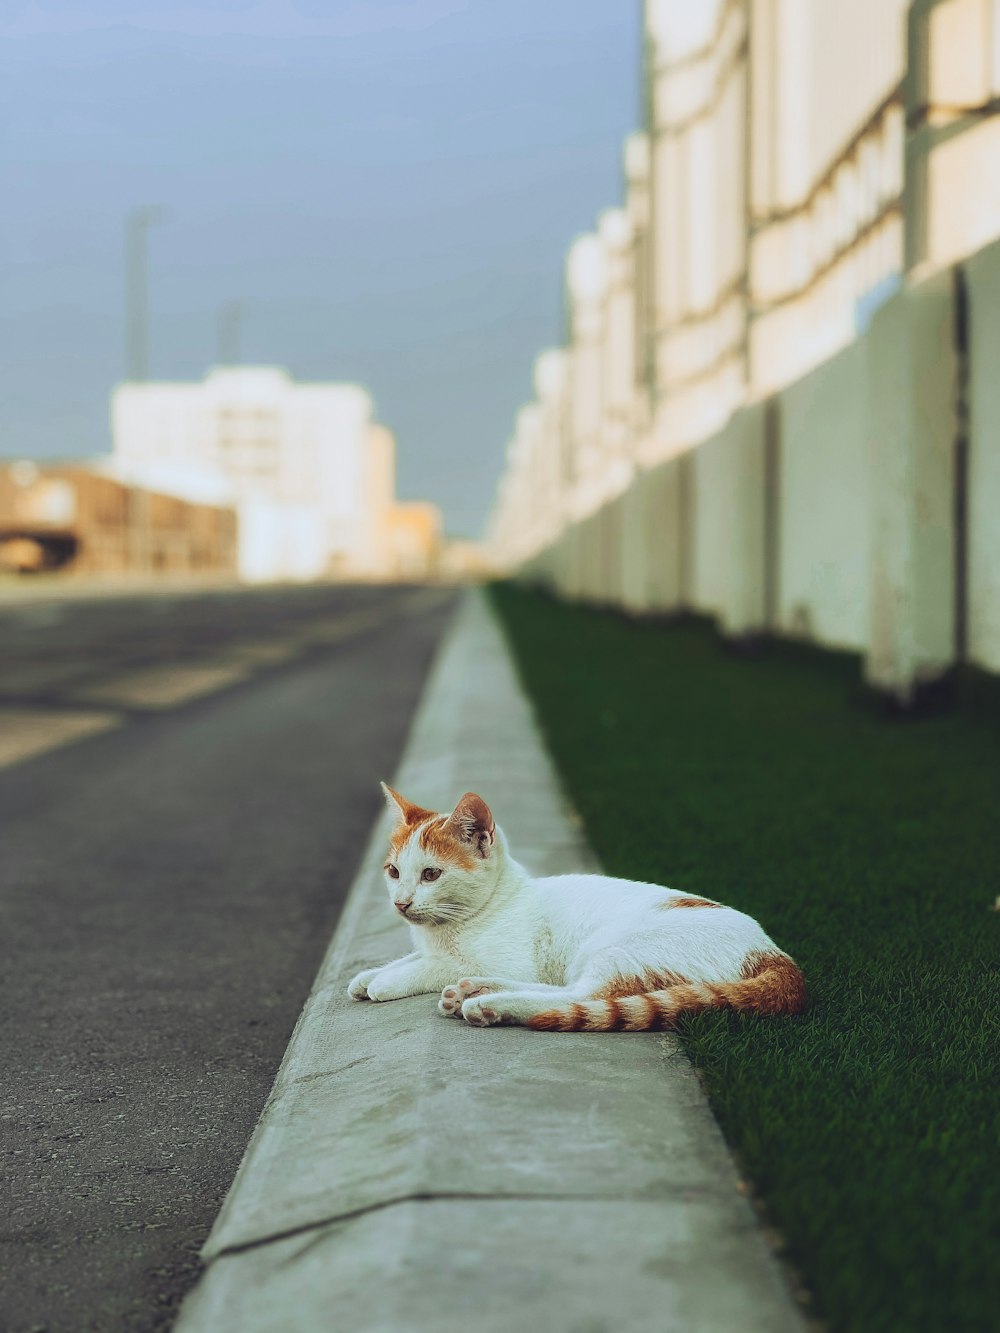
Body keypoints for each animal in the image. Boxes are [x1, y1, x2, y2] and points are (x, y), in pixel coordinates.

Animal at [349, 778, 810, 1029]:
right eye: (393, 872)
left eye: (431, 875)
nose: (401, 904)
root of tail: (776, 955)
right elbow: (412, 958)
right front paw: (369, 974)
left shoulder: (506, 959)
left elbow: (435, 965)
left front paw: (386, 982)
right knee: (569, 990)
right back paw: (475, 990)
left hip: (619, 946)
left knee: (581, 996)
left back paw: (488, 1003)